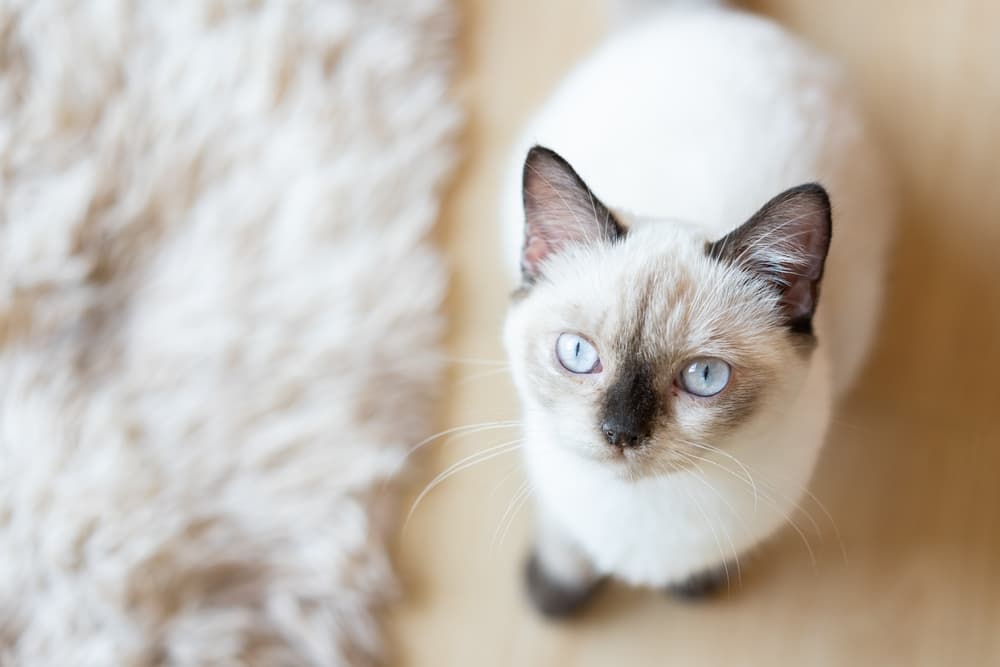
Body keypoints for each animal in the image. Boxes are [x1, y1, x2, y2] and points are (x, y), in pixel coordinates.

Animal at [500, 0, 892, 620]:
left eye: (704, 377)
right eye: (578, 354)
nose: (620, 433)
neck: (643, 512)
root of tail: (700, 14)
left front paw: (694, 586)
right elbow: (564, 536)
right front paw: (556, 592)